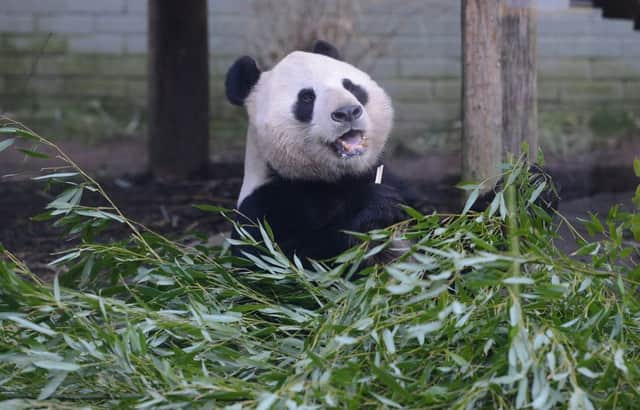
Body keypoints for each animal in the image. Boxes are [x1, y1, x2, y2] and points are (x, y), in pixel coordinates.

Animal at [225, 39, 416, 262]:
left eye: (350, 86)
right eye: (307, 98)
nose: (348, 111)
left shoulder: (385, 176)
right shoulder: (265, 205)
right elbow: (281, 256)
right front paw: (377, 204)